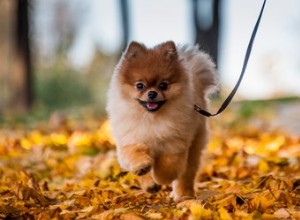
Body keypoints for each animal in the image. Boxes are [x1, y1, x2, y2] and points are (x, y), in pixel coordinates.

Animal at [106, 40, 217, 202]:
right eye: (140, 85)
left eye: (163, 85)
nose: (152, 93)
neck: (151, 119)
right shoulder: (132, 139)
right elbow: (136, 155)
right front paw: (143, 169)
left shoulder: (174, 145)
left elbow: (168, 166)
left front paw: (162, 178)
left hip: (194, 147)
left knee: (186, 175)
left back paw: (184, 195)